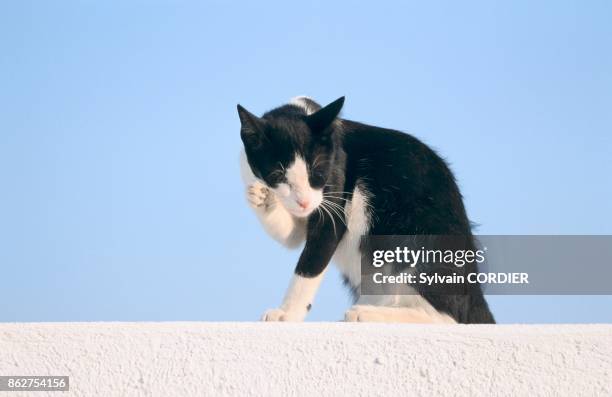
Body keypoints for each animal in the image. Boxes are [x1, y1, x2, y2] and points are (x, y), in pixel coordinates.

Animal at [237, 95, 494, 322]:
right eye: (278, 175)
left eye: (318, 172)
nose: (304, 202)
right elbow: (292, 235)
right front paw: (263, 198)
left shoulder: (333, 205)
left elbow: (309, 266)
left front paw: (287, 313)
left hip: (418, 236)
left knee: (446, 316)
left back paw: (367, 313)